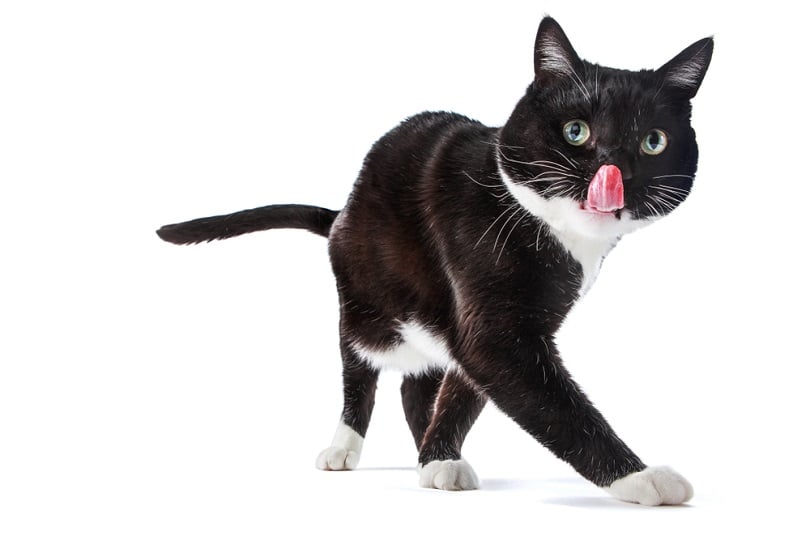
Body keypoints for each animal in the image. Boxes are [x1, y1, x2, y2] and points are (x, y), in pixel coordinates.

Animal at [159, 17, 712, 506]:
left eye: (653, 142)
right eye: (575, 131)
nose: (613, 171)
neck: (552, 233)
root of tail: (341, 212)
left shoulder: (496, 326)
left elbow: (466, 388)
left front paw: (438, 458)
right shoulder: (493, 326)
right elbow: (554, 404)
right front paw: (641, 478)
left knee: (417, 384)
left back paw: (427, 451)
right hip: (365, 303)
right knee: (357, 368)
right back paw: (344, 446)